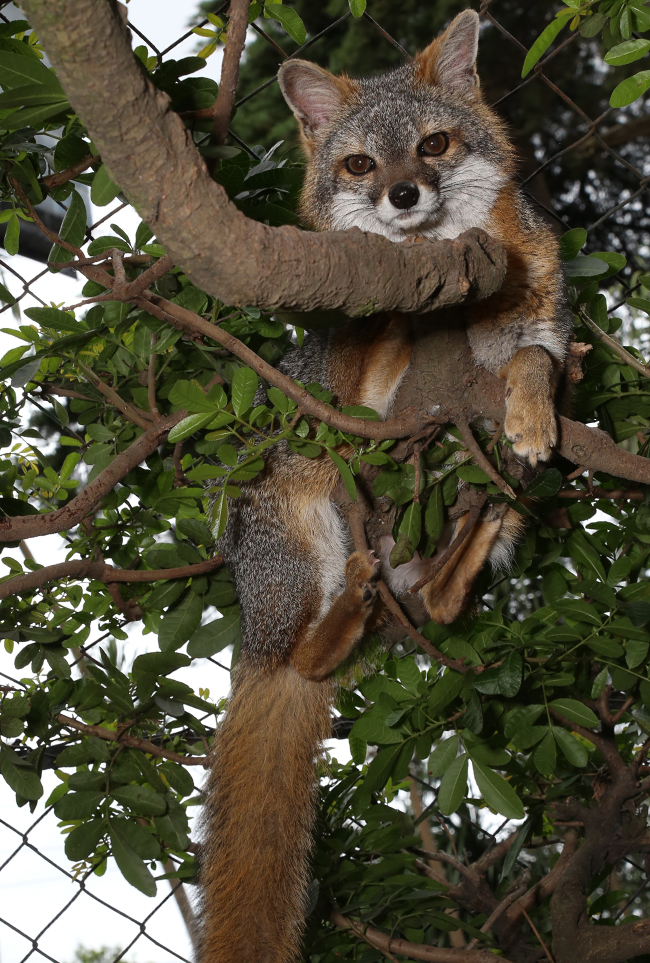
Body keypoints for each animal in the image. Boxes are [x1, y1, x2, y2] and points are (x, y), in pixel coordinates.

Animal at [197, 13, 568, 963]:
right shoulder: (348, 389)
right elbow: (377, 340)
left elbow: (534, 359)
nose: (404, 198)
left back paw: (463, 542)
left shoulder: (535, 323)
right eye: (363, 164)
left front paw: (531, 409)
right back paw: (336, 619)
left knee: (440, 595)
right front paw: (405, 296)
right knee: (306, 653)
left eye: (434, 146)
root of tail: (255, 626)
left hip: (471, 529)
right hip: (313, 534)